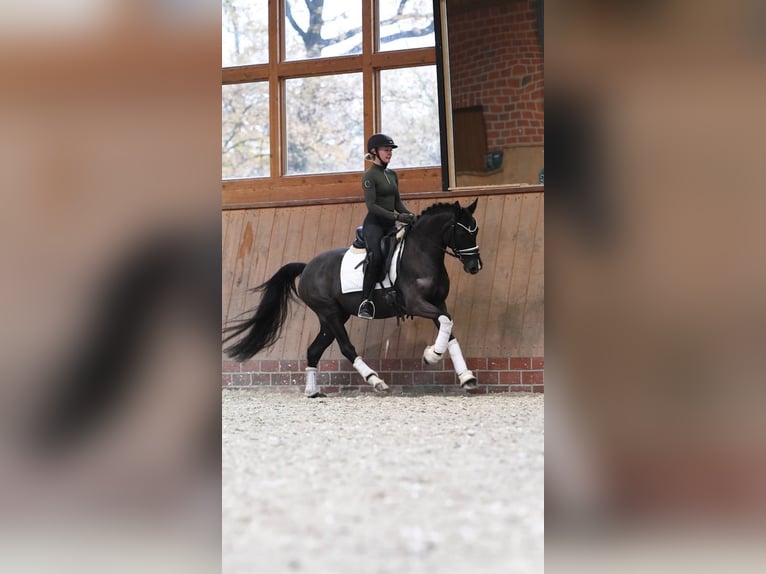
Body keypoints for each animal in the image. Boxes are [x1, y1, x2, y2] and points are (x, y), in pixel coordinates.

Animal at [225, 200, 484, 398]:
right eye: (463, 231)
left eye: (476, 231)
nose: (475, 267)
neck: (420, 254)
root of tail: (307, 266)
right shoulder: (416, 304)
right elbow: (446, 322)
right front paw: (432, 355)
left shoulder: (438, 303)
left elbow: (449, 328)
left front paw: (466, 377)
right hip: (329, 312)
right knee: (346, 347)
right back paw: (376, 381)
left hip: (332, 318)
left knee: (314, 350)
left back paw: (312, 391)